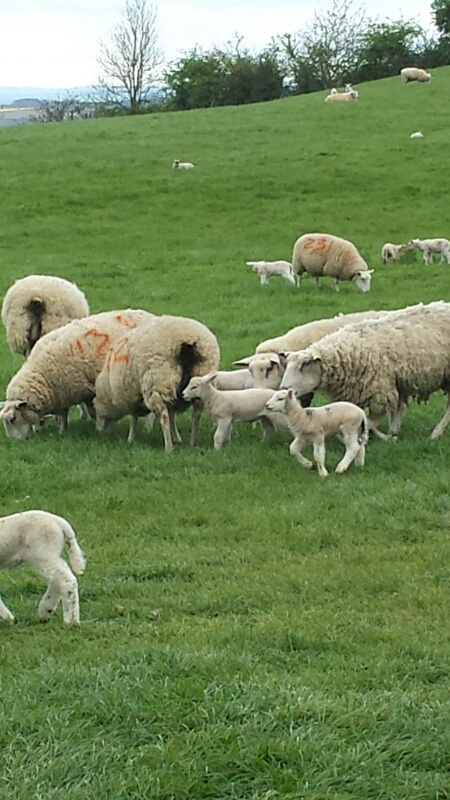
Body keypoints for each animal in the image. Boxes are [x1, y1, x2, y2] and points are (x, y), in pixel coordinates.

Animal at [0, 309, 155, 439]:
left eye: (12, 419)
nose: (14, 441)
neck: (43, 374)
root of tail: (151, 316)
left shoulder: (84, 390)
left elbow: (94, 412)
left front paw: (99, 430)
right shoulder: (62, 393)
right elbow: (63, 415)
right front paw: (62, 431)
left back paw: (148, 428)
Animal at [93, 314, 220, 451]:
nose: (101, 432)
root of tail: (186, 341)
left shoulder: (131, 395)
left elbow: (134, 418)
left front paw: (130, 439)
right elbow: (172, 416)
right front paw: (177, 438)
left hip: (158, 382)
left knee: (164, 417)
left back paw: (169, 447)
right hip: (200, 377)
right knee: (196, 415)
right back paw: (192, 442)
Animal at [280, 301, 450, 441]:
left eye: (305, 364)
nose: (284, 389)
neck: (347, 353)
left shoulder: (381, 392)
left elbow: (369, 421)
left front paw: (383, 437)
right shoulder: (391, 385)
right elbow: (395, 410)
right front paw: (391, 434)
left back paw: (435, 433)